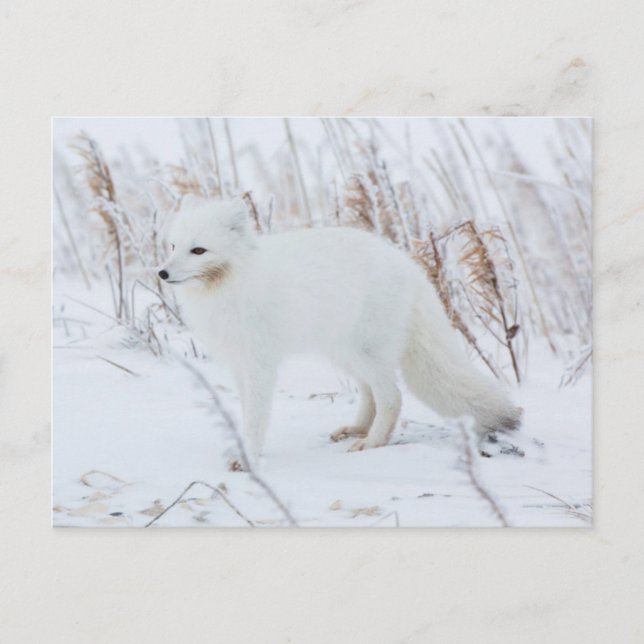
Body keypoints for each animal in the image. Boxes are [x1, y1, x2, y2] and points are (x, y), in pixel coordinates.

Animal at [159, 197, 521, 460]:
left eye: (199, 250)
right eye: (173, 246)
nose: (161, 273)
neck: (231, 285)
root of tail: (407, 265)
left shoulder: (261, 364)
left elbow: (257, 416)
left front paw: (249, 455)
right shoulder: (239, 364)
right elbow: (247, 410)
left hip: (365, 352)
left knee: (391, 396)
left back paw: (372, 443)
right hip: (344, 353)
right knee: (370, 393)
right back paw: (357, 430)